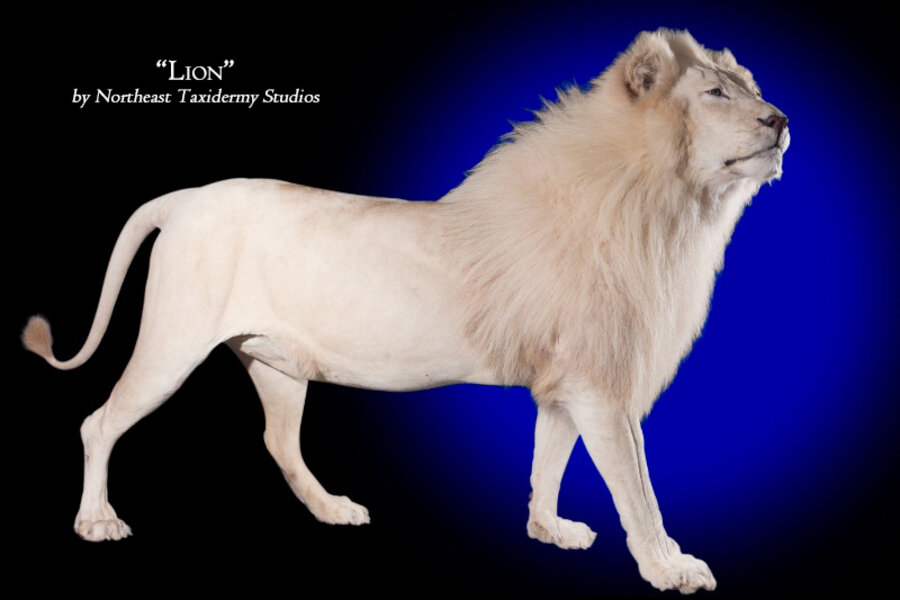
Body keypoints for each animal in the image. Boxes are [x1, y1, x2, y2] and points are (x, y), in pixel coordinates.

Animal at [23, 29, 788, 594]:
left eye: (751, 89)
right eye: (716, 94)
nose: (780, 119)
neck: (669, 205)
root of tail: (182, 197)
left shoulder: (566, 386)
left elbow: (547, 463)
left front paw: (549, 531)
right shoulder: (603, 389)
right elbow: (637, 489)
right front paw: (668, 566)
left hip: (276, 363)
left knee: (278, 442)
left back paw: (333, 509)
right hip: (173, 343)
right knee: (98, 423)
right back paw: (96, 522)